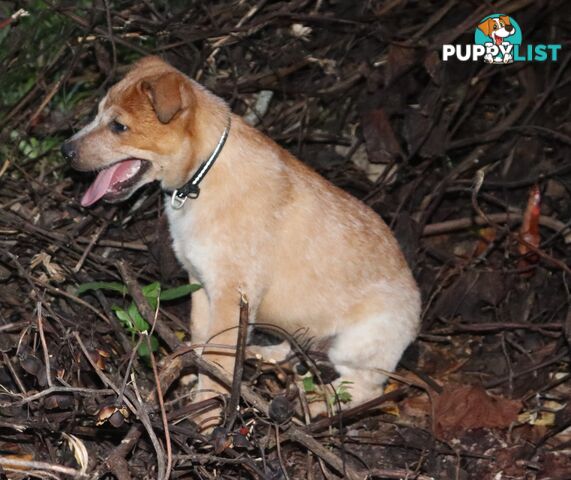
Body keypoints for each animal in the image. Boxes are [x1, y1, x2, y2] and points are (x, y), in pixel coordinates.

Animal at [63, 57, 420, 432]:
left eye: (119, 126)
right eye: (97, 112)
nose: (65, 151)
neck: (201, 176)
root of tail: (417, 314)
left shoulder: (231, 295)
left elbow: (217, 358)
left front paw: (204, 416)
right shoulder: (201, 285)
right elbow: (203, 340)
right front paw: (193, 375)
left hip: (356, 345)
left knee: (364, 387)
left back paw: (317, 402)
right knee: (292, 350)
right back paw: (263, 355)